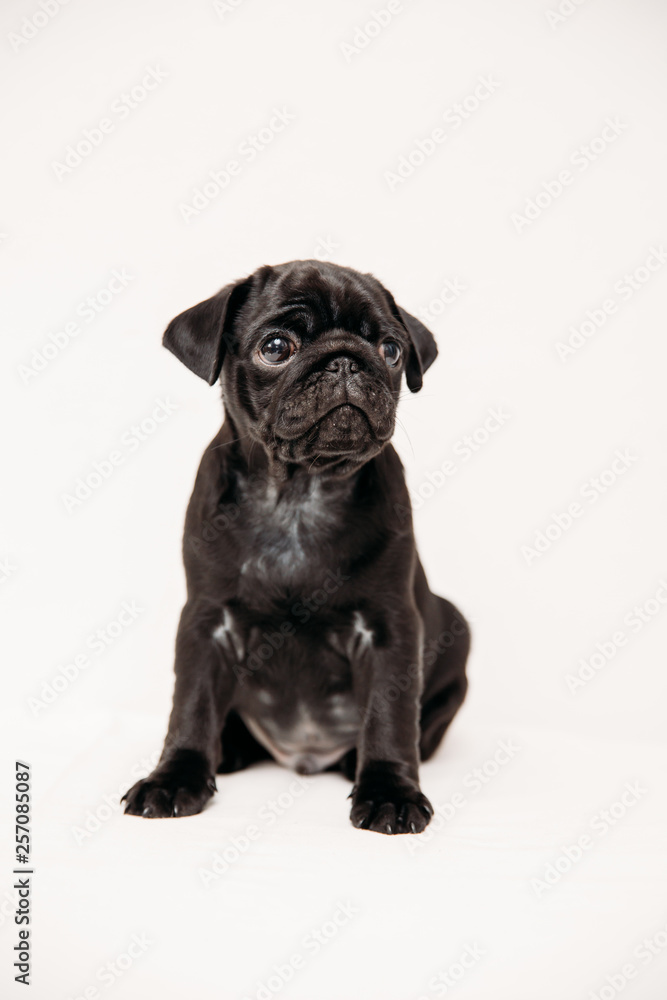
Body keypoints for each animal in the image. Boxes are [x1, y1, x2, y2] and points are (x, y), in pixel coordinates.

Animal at [123, 259, 470, 834]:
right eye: (276, 346)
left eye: (391, 350)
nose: (346, 360)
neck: (299, 495)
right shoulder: (205, 623)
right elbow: (191, 706)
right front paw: (174, 779)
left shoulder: (391, 628)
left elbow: (390, 715)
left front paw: (390, 791)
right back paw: (229, 750)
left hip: (456, 629)